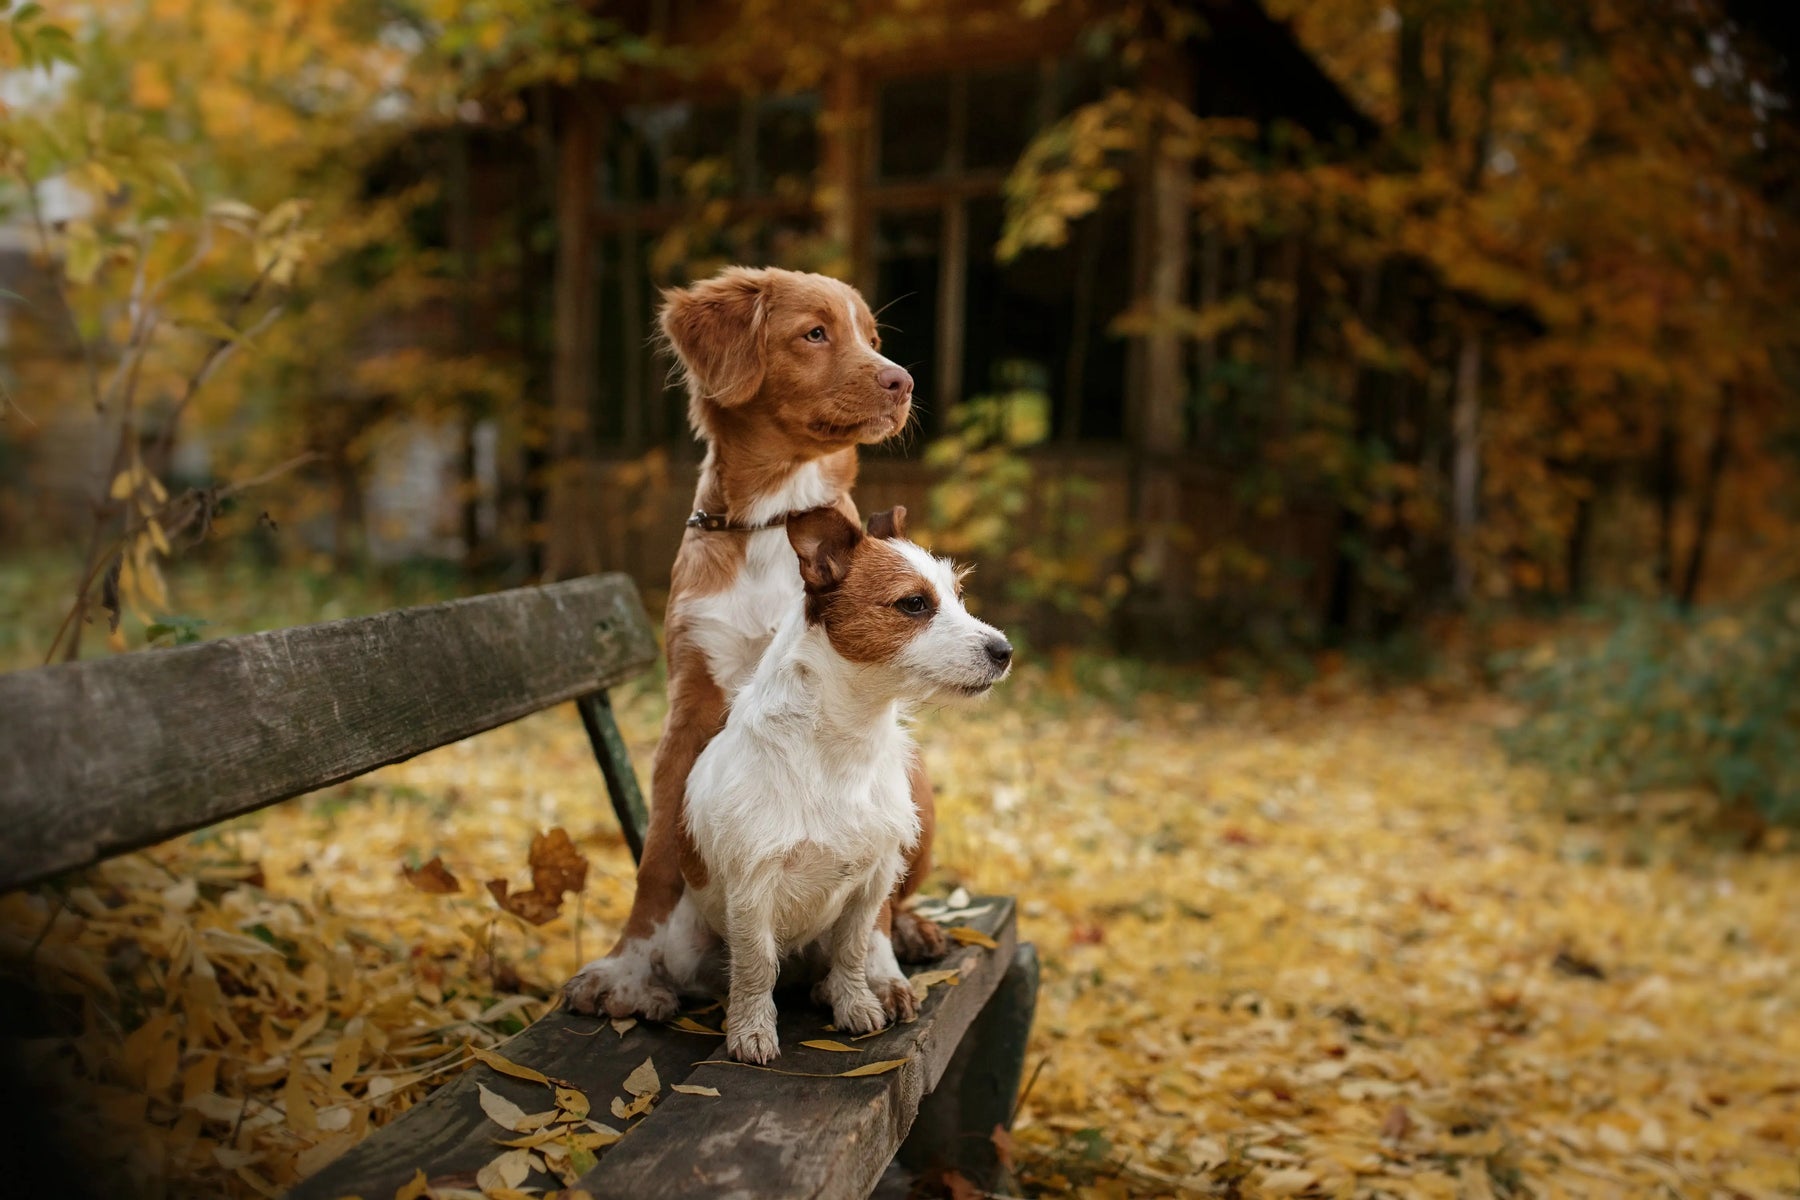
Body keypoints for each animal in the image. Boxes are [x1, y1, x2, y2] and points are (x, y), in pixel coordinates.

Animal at [568, 268, 950, 1021]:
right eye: (815, 333)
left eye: (873, 336)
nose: (904, 381)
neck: (778, 517)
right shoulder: (689, 708)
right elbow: (656, 858)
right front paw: (628, 966)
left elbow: (871, 890)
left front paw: (875, 972)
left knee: (897, 887)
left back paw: (912, 931)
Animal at [637, 503, 1008, 1057]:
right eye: (914, 603)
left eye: (958, 596)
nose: (1005, 651)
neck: (842, 744)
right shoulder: (752, 887)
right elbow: (754, 966)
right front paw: (751, 1030)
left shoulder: (873, 883)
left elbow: (854, 950)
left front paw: (854, 1003)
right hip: (685, 947)